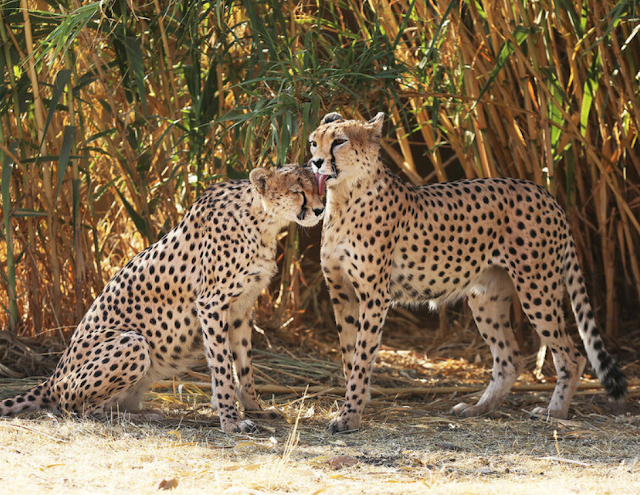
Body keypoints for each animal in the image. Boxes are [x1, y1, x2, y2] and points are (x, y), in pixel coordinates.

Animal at [0, 167, 324, 434]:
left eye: (319, 188)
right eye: (297, 190)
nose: (321, 210)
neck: (262, 219)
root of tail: (53, 377)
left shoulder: (241, 309)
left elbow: (244, 366)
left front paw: (255, 410)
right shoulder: (211, 304)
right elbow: (222, 366)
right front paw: (230, 420)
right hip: (131, 342)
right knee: (76, 408)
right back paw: (140, 416)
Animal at [308, 113, 624, 434]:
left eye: (339, 141)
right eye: (313, 142)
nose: (316, 162)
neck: (344, 197)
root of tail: (544, 192)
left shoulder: (374, 297)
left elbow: (362, 356)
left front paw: (349, 415)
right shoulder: (342, 295)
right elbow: (349, 355)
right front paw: (354, 404)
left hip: (537, 289)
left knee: (572, 356)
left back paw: (554, 411)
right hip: (486, 297)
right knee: (510, 358)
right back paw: (478, 408)